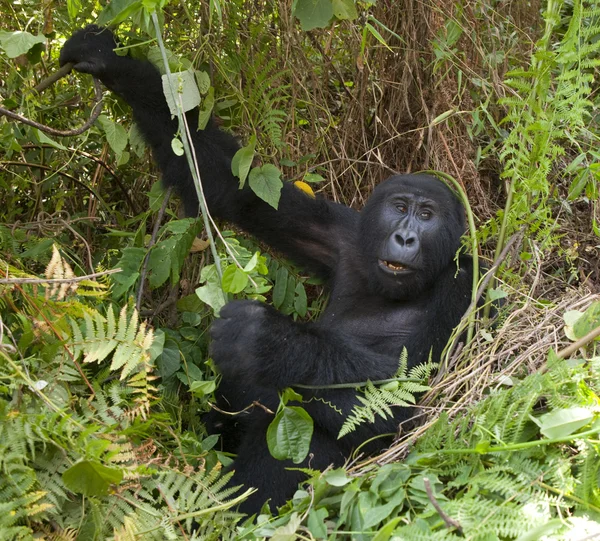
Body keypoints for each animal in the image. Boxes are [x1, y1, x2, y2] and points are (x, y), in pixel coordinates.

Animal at [61, 26, 478, 516]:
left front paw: (269, 342)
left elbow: (405, 405)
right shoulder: (344, 236)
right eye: (399, 208)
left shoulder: (463, 289)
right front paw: (108, 59)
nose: (406, 237)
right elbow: (230, 188)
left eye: (427, 215)